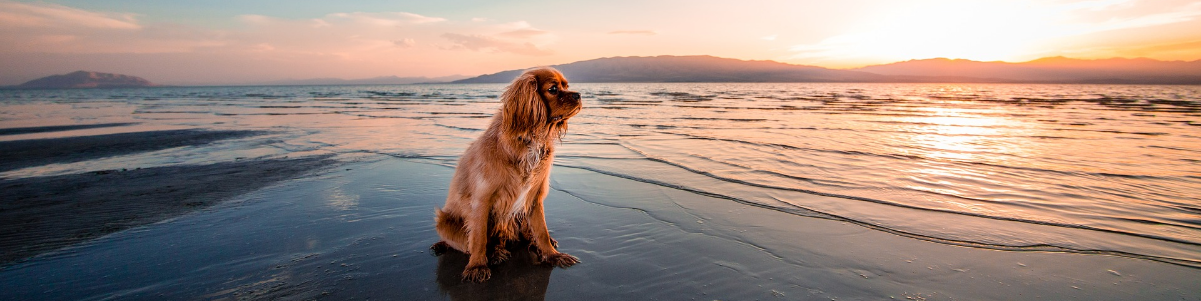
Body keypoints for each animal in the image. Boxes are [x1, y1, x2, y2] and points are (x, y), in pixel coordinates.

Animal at [432, 67, 581, 281]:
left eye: (567, 86)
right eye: (553, 89)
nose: (578, 95)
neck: (529, 140)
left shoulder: (534, 197)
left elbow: (541, 231)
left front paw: (552, 255)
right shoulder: (482, 200)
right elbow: (479, 238)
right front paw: (477, 266)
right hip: (444, 222)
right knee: (477, 243)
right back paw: (494, 253)